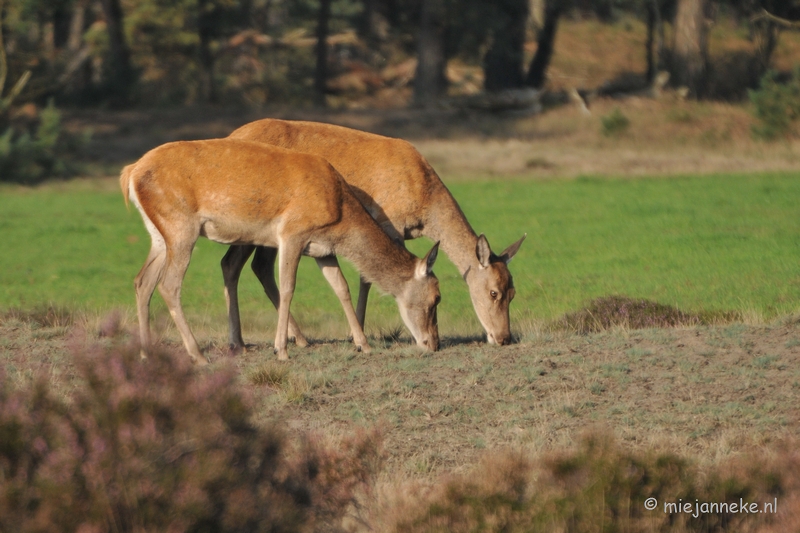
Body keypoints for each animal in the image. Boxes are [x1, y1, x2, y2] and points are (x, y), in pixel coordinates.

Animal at [122, 137, 440, 364]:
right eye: (436, 298)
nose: (434, 344)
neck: (341, 211)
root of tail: (130, 174)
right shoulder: (292, 234)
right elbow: (288, 287)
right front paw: (281, 350)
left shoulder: (323, 250)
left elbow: (341, 287)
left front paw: (364, 344)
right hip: (181, 228)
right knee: (169, 285)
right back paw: (198, 355)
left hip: (159, 235)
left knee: (142, 281)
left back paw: (145, 353)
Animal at [222, 117, 528, 350]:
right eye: (493, 292)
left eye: (513, 292)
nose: (503, 337)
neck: (423, 201)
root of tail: (231, 134)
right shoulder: (389, 222)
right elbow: (367, 278)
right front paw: (356, 335)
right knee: (245, 264)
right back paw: (275, 340)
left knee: (243, 264)